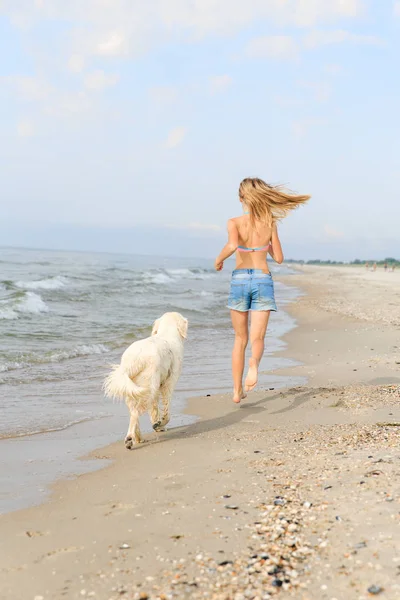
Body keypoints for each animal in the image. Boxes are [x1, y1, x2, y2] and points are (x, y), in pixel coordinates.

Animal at [104, 312, 189, 448]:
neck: (167, 332)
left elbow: (154, 410)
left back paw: (138, 438)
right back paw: (129, 438)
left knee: (134, 412)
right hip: (148, 387)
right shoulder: (169, 383)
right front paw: (160, 424)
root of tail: (133, 360)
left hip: (134, 390)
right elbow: (166, 411)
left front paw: (157, 426)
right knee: (135, 414)